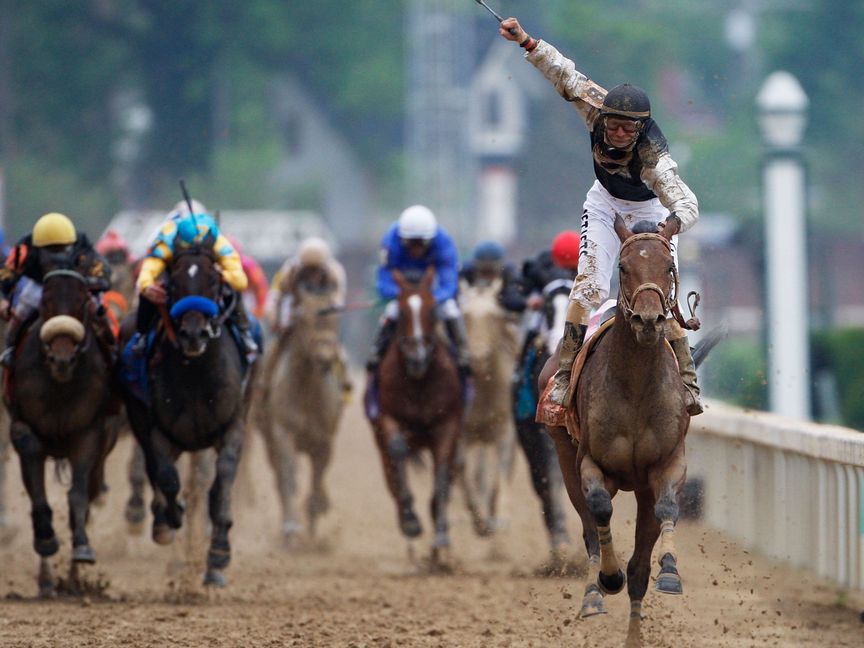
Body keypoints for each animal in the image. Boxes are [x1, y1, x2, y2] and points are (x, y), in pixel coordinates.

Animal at [4, 270, 118, 596]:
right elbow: (37, 493)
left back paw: (74, 579)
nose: (62, 359)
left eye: (82, 302)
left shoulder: (89, 433)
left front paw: (82, 550)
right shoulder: (21, 424)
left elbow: (77, 497)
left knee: (89, 496)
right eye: (45, 301)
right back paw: (46, 581)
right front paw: (45, 540)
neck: (59, 386)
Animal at [122, 244, 256, 588]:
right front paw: (168, 519)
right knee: (154, 469)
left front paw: (218, 557)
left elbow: (220, 485)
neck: (196, 372)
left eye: (213, 281)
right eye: (174, 283)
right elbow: (167, 478)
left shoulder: (233, 425)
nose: (193, 334)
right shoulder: (157, 428)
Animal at [370, 268, 470, 568]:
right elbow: (397, 451)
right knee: (392, 474)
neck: (418, 381)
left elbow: (442, 478)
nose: (418, 357)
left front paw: (441, 537)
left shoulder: (447, 426)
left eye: (433, 310)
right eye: (401, 312)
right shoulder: (389, 417)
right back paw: (407, 519)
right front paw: (411, 521)